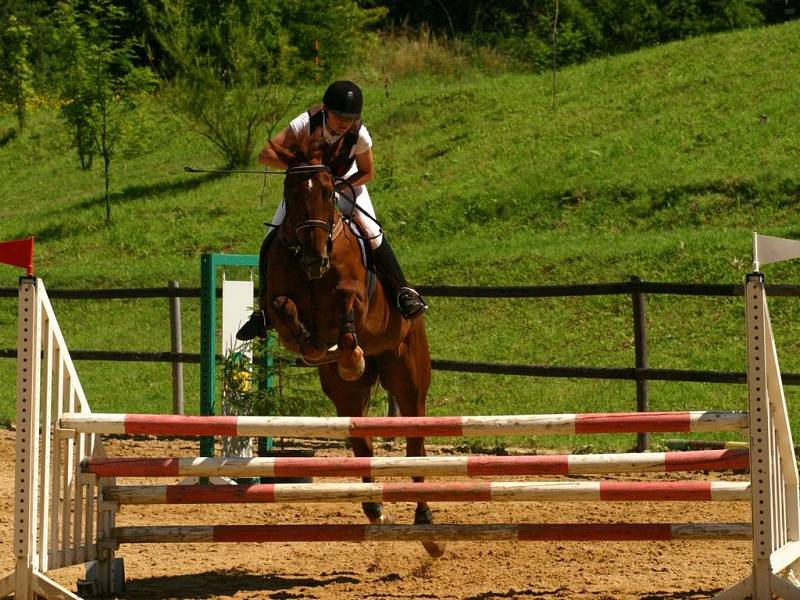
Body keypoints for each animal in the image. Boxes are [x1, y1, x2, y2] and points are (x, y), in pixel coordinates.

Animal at [260, 143, 444, 556]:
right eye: (292, 192)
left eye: (330, 192)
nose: (315, 261)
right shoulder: (278, 300)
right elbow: (283, 308)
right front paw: (308, 343)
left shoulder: (355, 297)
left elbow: (347, 303)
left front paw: (349, 356)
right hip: (345, 397)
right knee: (362, 442)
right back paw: (374, 507)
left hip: (408, 378)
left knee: (415, 444)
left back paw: (426, 525)